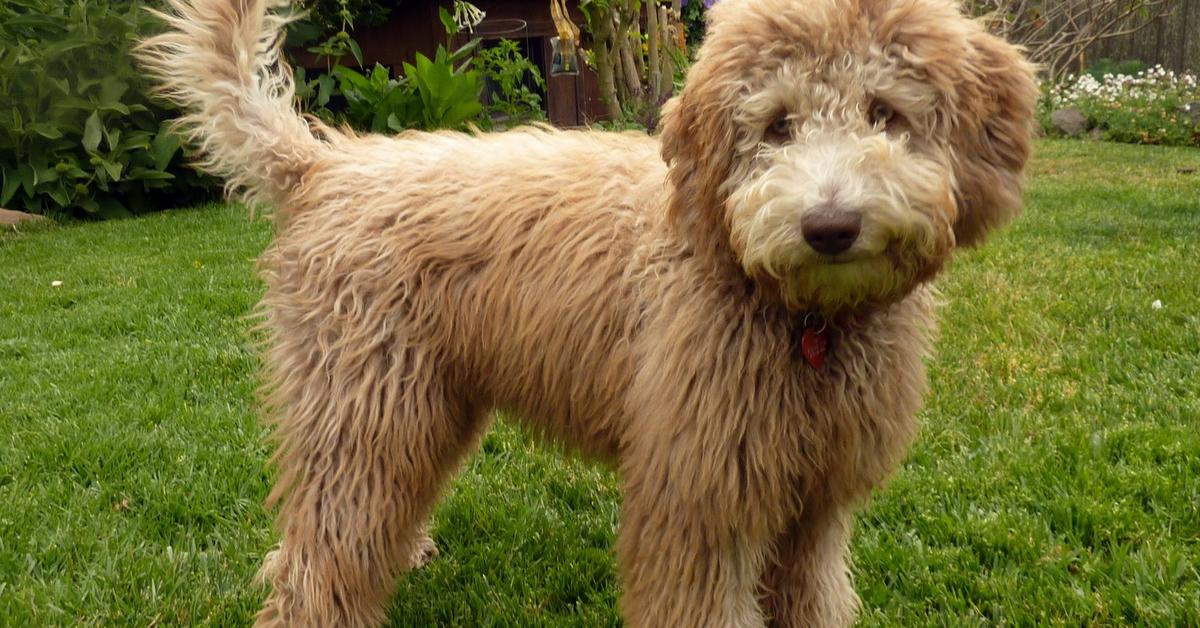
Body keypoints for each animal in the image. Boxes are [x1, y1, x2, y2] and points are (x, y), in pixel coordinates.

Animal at [140, 1, 1036, 624]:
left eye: (886, 111)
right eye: (777, 125)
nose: (830, 226)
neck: (799, 317)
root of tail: (328, 165)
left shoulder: (814, 501)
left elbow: (813, 598)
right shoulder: (698, 492)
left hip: (420, 403)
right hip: (365, 405)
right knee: (319, 556)